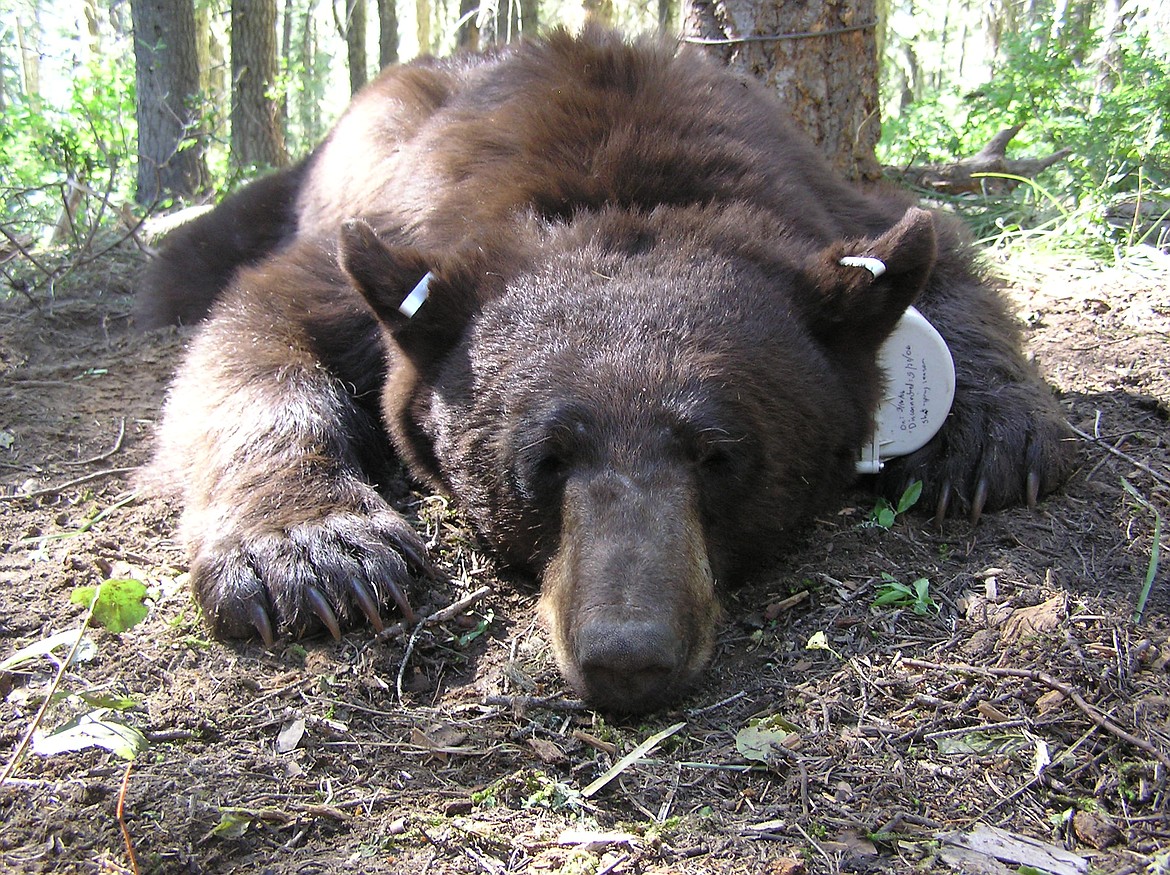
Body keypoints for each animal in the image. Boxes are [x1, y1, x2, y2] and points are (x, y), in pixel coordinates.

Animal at [136, 29, 1071, 711]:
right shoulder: (381, 237)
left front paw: (989, 438)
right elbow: (256, 327)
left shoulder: (829, 203)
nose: (628, 656)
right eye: (543, 461)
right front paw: (312, 552)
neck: (619, 178)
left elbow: (938, 259)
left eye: (720, 454)